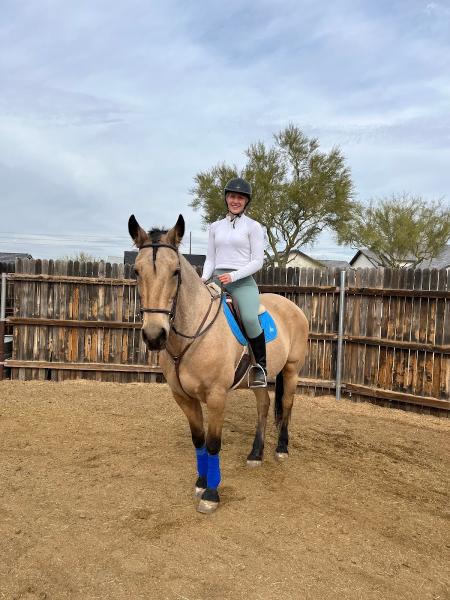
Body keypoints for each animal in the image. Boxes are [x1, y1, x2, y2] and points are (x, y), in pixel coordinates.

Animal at [128, 213, 308, 512]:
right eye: (136, 271)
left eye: (175, 272)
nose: (154, 336)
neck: (193, 334)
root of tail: (291, 306)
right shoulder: (183, 397)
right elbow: (198, 440)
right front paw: (201, 483)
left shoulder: (216, 396)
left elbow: (213, 443)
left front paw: (211, 494)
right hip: (258, 379)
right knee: (264, 407)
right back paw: (255, 454)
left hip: (292, 370)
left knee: (286, 405)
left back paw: (281, 449)